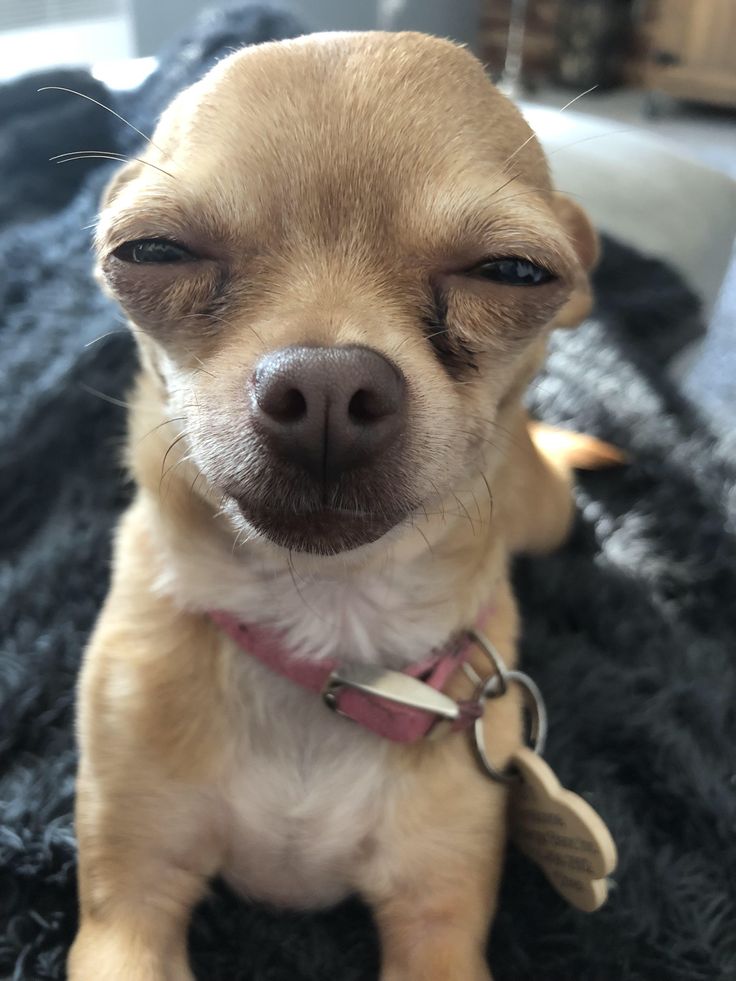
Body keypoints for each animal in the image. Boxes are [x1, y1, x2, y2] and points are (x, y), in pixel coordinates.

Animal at [70, 30, 604, 980]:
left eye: (513, 271)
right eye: (152, 252)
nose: (324, 385)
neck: (330, 631)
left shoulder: (437, 926)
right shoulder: (127, 911)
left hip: (545, 513)